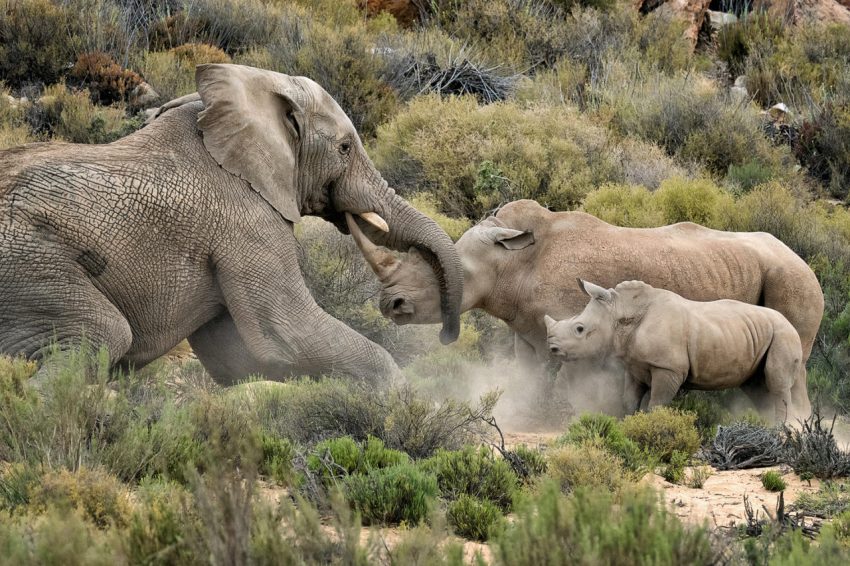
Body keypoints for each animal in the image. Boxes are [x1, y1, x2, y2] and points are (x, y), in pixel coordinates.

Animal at [0, 64, 464, 386]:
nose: (445, 337)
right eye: (345, 148)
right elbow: (287, 336)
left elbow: (239, 359)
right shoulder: (248, 222)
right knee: (102, 334)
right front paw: (399, 402)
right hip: (26, 262)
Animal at [544, 279, 810, 422]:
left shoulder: (668, 368)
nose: (552, 347)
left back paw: (780, 431)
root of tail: (791, 325)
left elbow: (657, 403)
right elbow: (629, 400)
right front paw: (629, 425)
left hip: (783, 334)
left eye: (579, 329)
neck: (621, 314)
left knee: (776, 383)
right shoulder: (634, 366)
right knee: (758, 387)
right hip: (765, 334)